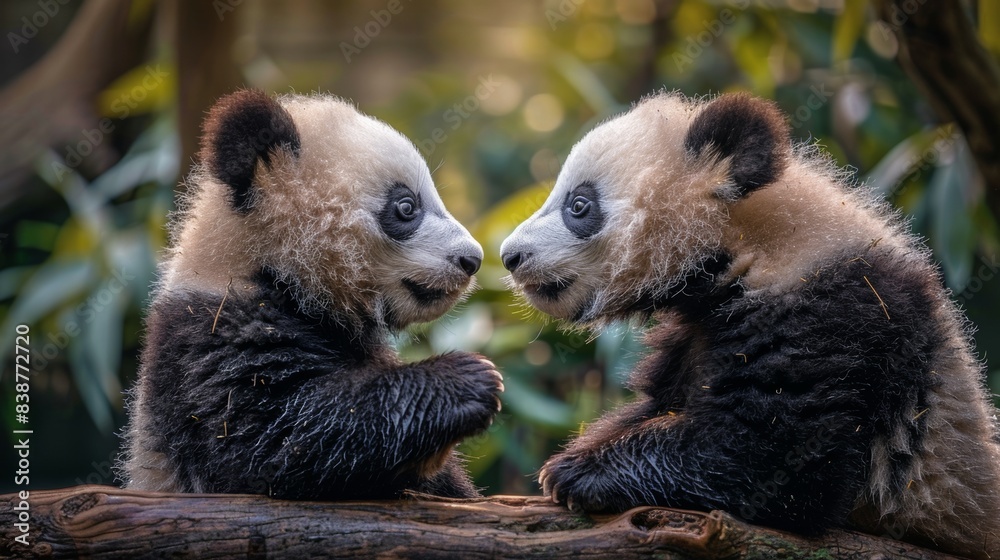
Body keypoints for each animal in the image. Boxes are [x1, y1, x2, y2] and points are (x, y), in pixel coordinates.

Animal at [500, 91, 1000, 558]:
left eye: (579, 205)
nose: (510, 255)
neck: (756, 241)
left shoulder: (834, 315)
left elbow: (774, 457)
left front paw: (577, 472)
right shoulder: (696, 334)